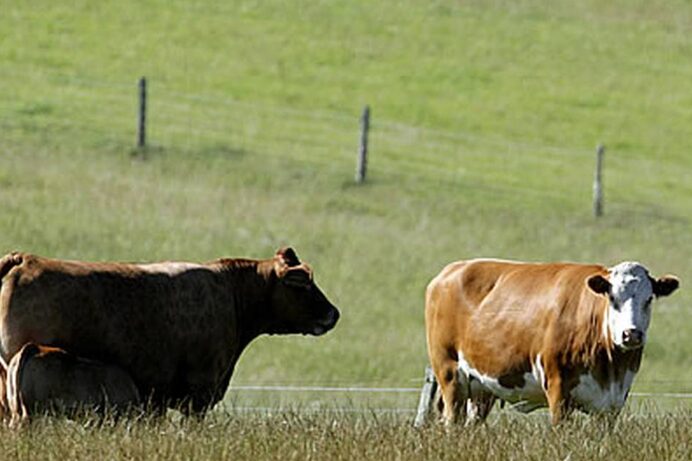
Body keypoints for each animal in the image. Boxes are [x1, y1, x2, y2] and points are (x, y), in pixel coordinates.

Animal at [424, 256, 680, 422]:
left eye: (649, 299)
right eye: (612, 297)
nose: (631, 334)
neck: (610, 367)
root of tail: (450, 270)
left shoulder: (612, 402)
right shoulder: (558, 389)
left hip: (481, 387)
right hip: (450, 373)